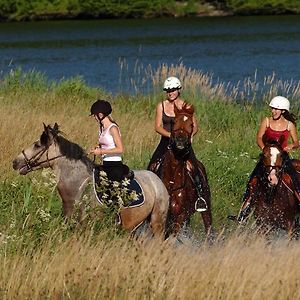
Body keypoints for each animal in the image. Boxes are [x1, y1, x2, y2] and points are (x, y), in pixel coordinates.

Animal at [159, 104, 211, 238]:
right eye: (174, 121)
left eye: (191, 124)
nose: (180, 140)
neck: (172, 181)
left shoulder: (180, 215)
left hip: (206, 208)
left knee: (209, 227)